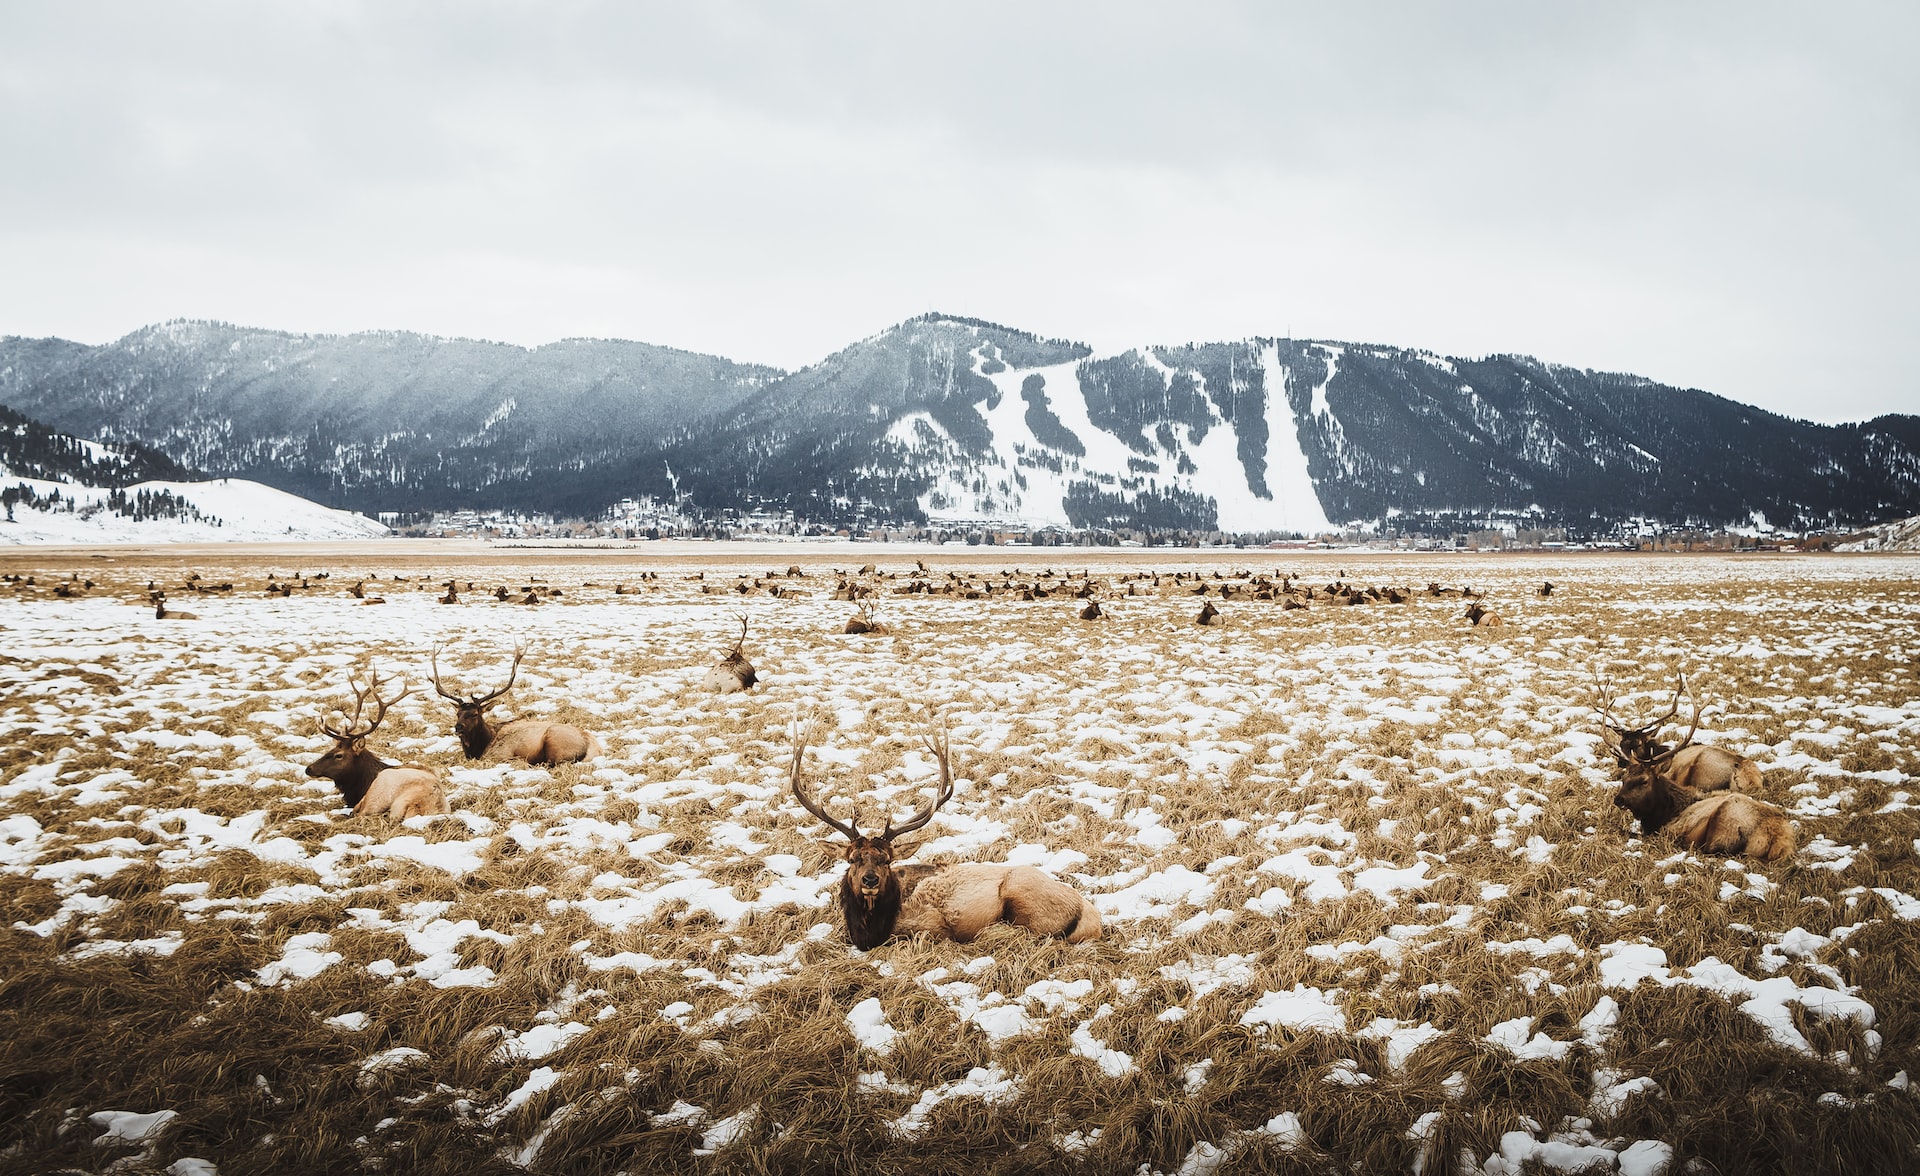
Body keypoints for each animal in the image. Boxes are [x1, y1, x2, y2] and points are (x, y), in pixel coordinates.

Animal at [307, 664, 449, 822]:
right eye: (331, 749)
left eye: (339, 755)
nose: (308, 769)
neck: (362, 784)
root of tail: (420, 804)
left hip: (377, 797)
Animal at [432, 649, 602, 768]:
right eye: (458, 713)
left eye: (475, 714)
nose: (458, 727)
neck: (478, 748)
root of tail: (595, 746)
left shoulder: (501, 755)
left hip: (556, 743)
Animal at [787, 722, 1105, 949]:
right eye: (852, 859)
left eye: (886, 860)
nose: (870, 880)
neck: (869, 931)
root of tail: (1092, 917)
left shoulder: (930, 924)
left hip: (1025, 900)